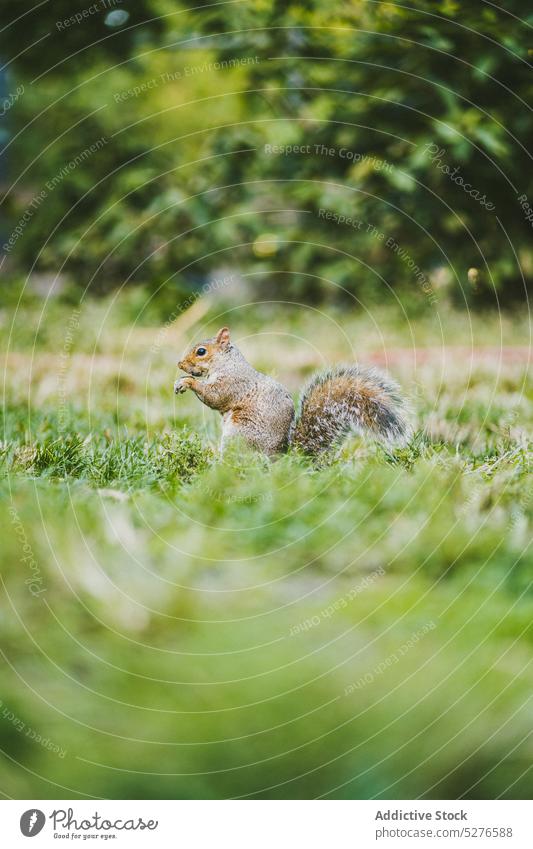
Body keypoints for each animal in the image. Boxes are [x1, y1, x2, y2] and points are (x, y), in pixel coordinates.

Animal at [175, 326, 412, 458]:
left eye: (201, 351)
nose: (179, 364)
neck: (226, 362)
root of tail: (281, 458)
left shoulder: (233, 383)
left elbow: (215, 397)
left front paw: (188, 382)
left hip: (238, 435)